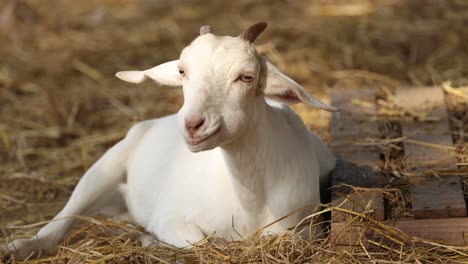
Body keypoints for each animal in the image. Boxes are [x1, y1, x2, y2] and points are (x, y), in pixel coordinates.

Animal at [0, 22, 336, 260]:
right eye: (182, 71)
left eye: (246, 77)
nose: (193, 125)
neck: (250, 199)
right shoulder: (169, 216)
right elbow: (198, 242)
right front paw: (152, 240)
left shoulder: (307, 226)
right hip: (103, 169)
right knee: (62, 219)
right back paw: (18, 247)